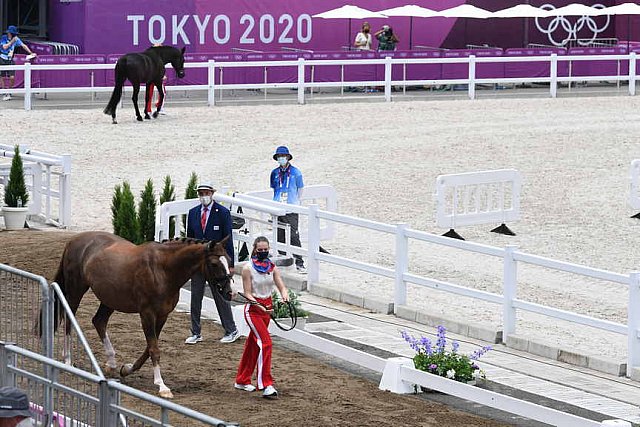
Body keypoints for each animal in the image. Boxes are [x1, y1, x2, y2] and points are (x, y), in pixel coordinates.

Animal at [52, 232, 232, 400]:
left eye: (229, 261)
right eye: (214, 263)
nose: (230, 293)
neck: (163, 270)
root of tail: (74, 240)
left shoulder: (162, 316)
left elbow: (149, 348)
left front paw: (127, 369)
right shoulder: (147, 314)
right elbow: (153, 349)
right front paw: (162, 386)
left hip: (110, 299)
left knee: (99, 321)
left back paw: (111, 363)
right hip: (76, 291)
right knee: (69, 320)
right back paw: (68, 360)